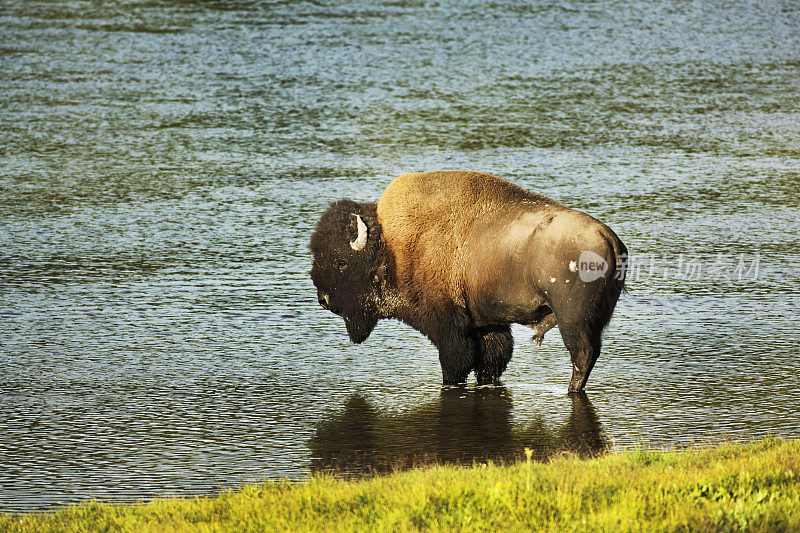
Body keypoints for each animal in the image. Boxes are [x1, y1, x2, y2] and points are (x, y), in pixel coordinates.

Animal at [310, 170, 628, 390]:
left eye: (341, 263)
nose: (323, 300)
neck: (391, 247)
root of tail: (608, 237)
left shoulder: (448, 325)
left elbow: (456, 364)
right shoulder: (485, 324)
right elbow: (490, 360)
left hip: (572, 320)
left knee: (582, 355)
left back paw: (570, 390)